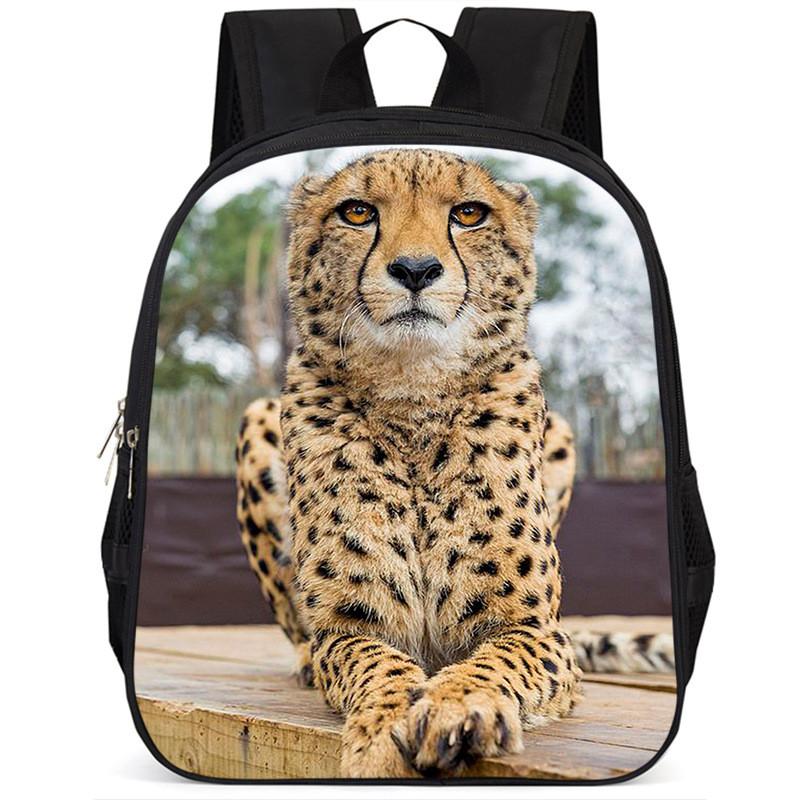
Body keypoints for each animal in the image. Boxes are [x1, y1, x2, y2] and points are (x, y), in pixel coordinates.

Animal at [235, 148, 673, 778]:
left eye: (468, 213)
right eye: (357, 211)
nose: (416, 269)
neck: (414, 391)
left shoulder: (536, 630)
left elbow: (496, 660)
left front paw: (458, 706)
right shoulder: (344, 631)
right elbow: (374, 664)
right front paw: (384, 732)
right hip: (256, 420)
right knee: (303, 640)